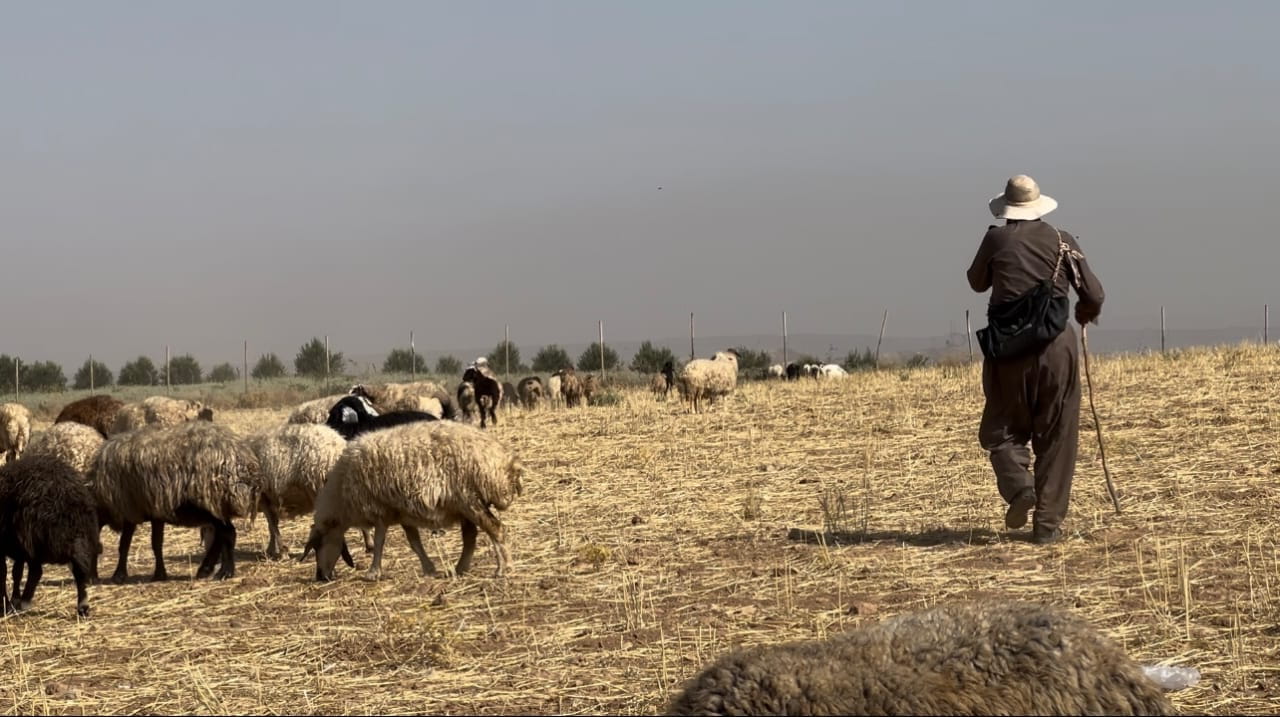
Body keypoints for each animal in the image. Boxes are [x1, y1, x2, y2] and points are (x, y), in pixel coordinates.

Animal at [0, 455, 100, 619]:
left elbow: (5, 573)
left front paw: (7, 603)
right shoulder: (18, 548)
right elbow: (16, 573)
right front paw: (12, 601)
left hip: (33, 539)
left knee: (36, 572)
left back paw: (24, 602)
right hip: (80, 539)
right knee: (80, 570)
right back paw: (83, 607)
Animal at [88, 419, 261, 583]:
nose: (91, 579)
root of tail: (243, 459)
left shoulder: (129, 509)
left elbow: (124, 544)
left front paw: (119, 575)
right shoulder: (155, 512)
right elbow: (156, 544)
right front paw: (159, 574)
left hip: (211, 503)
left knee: (228, 533)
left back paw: (224, 572)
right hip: (218, 505)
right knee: (222, 535)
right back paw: (209, 569)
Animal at [302, 419, 522, 583]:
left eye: (317, 545)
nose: (320, 577)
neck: (341, 495)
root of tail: (504, 461)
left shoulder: (379, 508)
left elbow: (380, 541)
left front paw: (373, 572)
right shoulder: (402, 512)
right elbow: (414, 542)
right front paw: (429, 568)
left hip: (470, 499)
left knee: (495, 529)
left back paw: (504, 568)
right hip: (463, 504)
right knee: (471, 537)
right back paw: (460, 569)